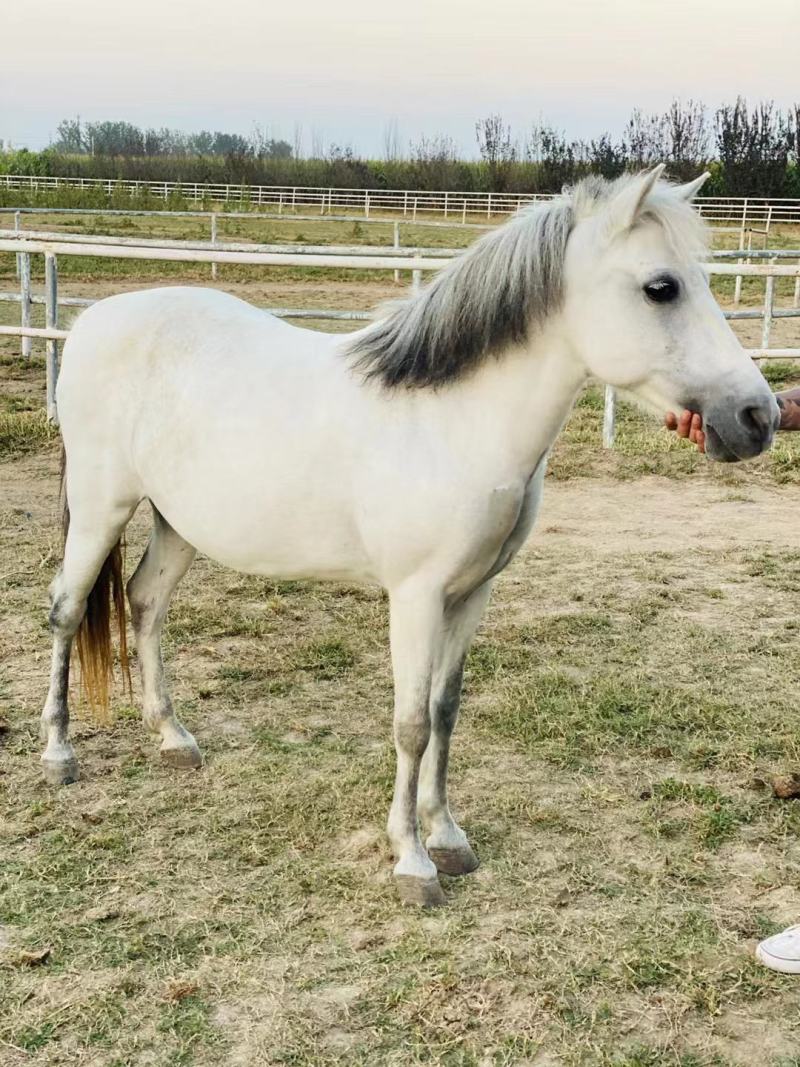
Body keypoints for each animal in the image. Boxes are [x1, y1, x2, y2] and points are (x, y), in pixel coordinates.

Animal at [40, 166, 778, 906]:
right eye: (662, 287)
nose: (759, 416)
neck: (451, 420)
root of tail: (91, 322)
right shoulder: (415, 597)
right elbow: (412, 723)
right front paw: (412, 861)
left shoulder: (472, 594)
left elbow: (445, 711)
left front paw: (447, 836)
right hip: (103, 508)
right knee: (68, 610)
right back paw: (59, 753)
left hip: (179, 523)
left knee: (144, 601)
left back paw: (172, 737)